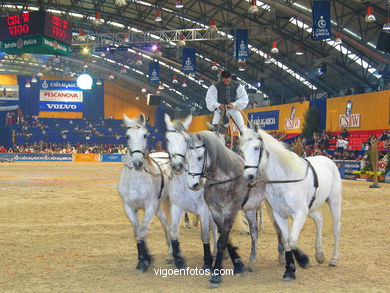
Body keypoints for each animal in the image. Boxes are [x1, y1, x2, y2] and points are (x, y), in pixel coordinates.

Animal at [118, 113, 171, 272]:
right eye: (127, 136)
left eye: (145, 135)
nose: (137, 163)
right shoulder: (129, 208)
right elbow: (137, 233)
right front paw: (144, 258)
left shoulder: (149, 207)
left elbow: (143, 231)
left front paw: (144, 260)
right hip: (159, 207)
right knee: (165, 224)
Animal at [164, 113, 218, 268]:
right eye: (168, 139)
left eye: (186, 140)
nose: (178, 166)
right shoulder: (176, 207)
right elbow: (173, 231)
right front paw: (178, 259)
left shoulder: (204, 210)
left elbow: (205, 235)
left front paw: (207, 262)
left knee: (215, 230)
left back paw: (216, 252)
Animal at [239, 126, 342, 280]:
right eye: (242, 150)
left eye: (256, 148)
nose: (248, 176)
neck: (285, 180)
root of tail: (327, 160)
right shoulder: (279, 214)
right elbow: (287, 241)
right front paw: (290, 270)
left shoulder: (300, 214)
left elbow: (292, 240)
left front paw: (304, 260)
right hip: (311, 208)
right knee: (319, 219)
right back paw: (319, 254)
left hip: (334, 201)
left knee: (336, 228)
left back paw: (334, 259)